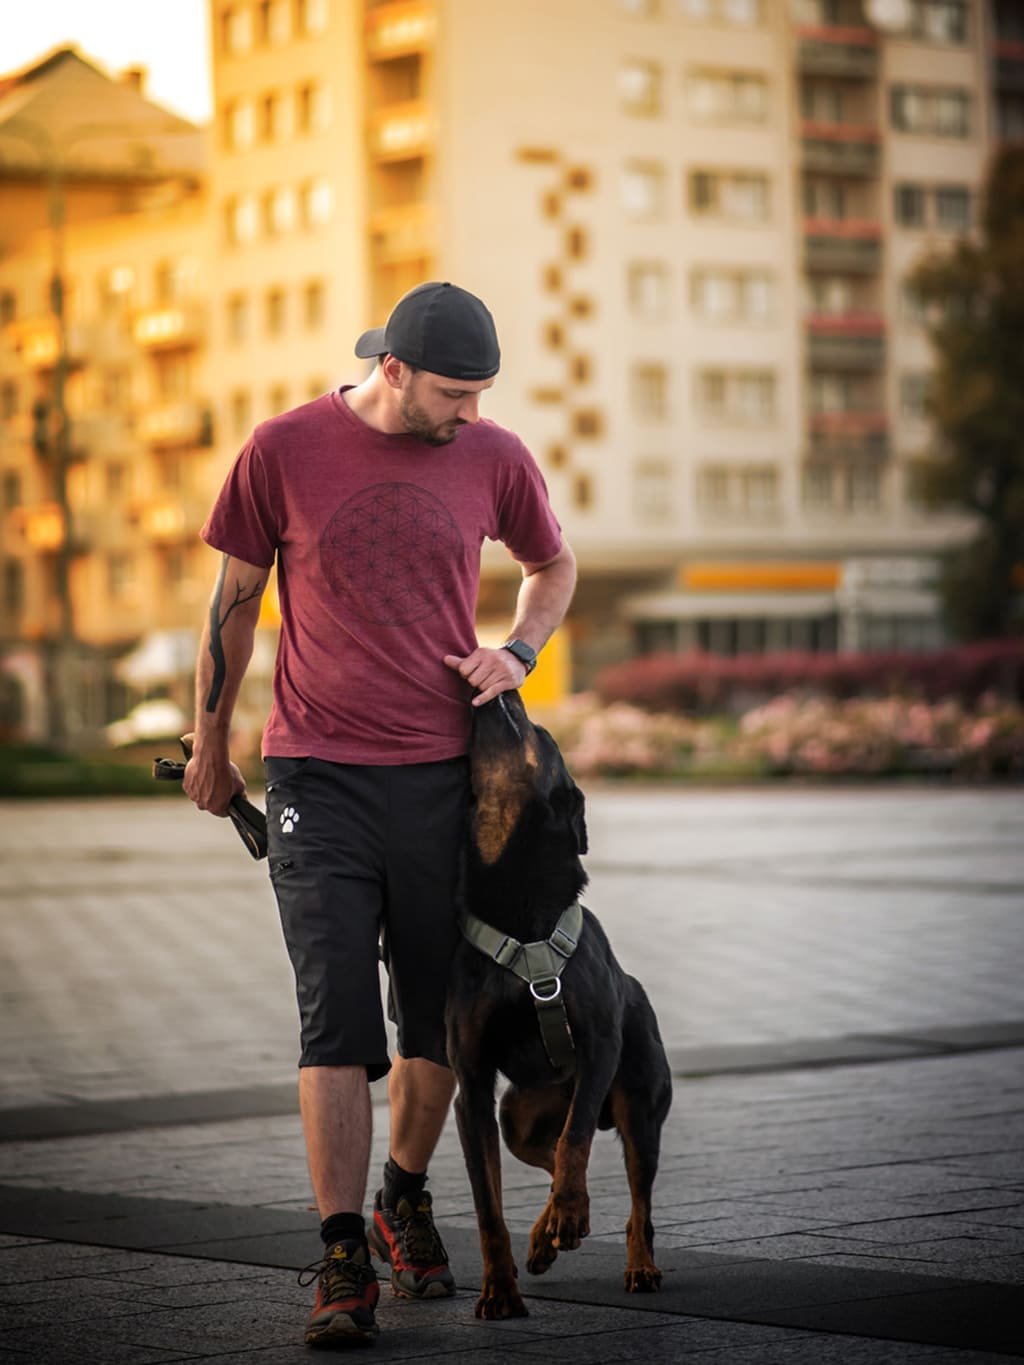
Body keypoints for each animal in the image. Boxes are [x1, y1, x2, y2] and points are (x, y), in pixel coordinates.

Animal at [447, 693, 674, 1321]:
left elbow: (575, 1145)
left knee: (634, 1198)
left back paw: (635, 1263)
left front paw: (570, 1214)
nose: (508, 690)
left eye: (539, 733)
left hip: (638, 1106)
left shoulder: (598, 1046)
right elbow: (488, 1206)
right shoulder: (472, 1089)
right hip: (517, 1116)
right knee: (551, 1150)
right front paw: (499, 1291)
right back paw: (545, 1233)